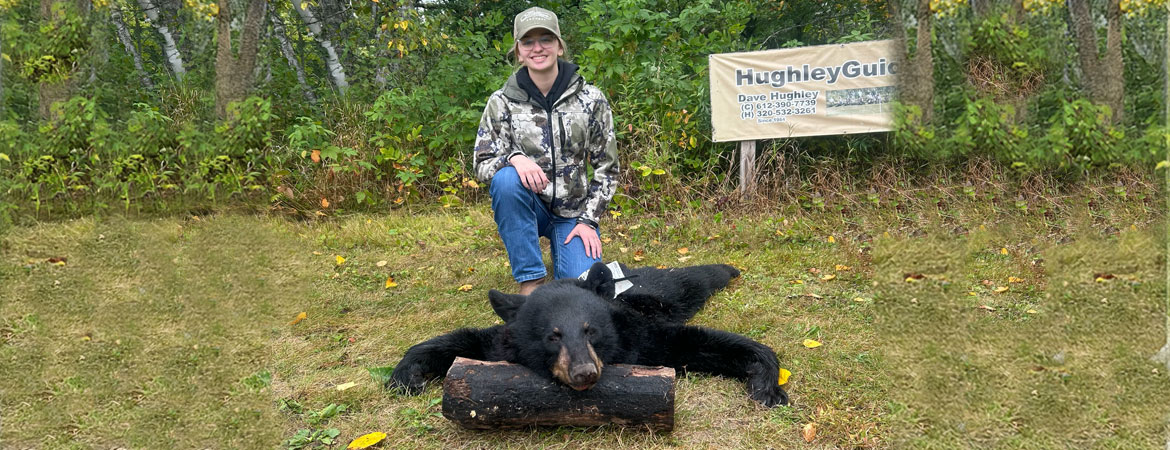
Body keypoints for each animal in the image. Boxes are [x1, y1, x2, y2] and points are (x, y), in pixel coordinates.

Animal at [388, 262, 788, 407]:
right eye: (552, 336)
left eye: (590, 330)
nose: (584, 372)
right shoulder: (501, 345)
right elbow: (467, 340)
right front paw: (408, 373)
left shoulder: (643, 340)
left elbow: (698, 343)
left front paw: (766, 382)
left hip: (664, 289)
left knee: (695, 278)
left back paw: (729, 269)